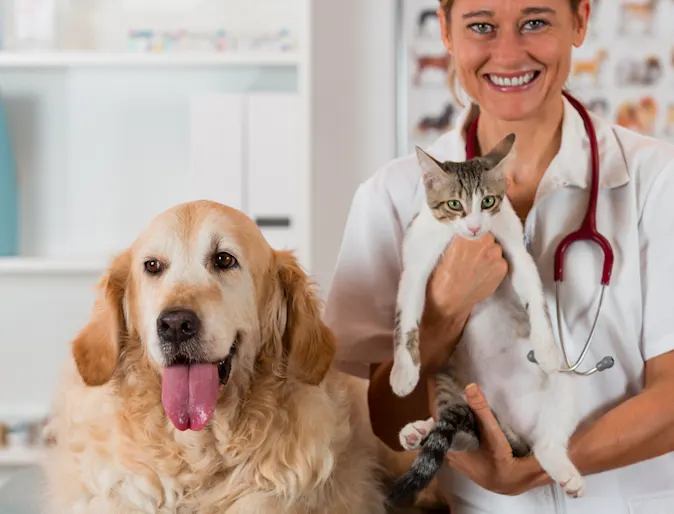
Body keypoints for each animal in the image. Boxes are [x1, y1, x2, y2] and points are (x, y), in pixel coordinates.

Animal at [388, 133, 584, 504]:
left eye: (489, 201)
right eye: (454, 205)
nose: (476, 226)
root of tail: (512, 424)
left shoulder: (515, 249)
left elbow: (534, 296)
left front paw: (546, 346)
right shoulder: (416, 261)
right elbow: (406, 318)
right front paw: (403, 372)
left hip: (563, 387)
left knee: (541, 443)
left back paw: (565, 472)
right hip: (447, 381)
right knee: (465, 439)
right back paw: (419, 431)